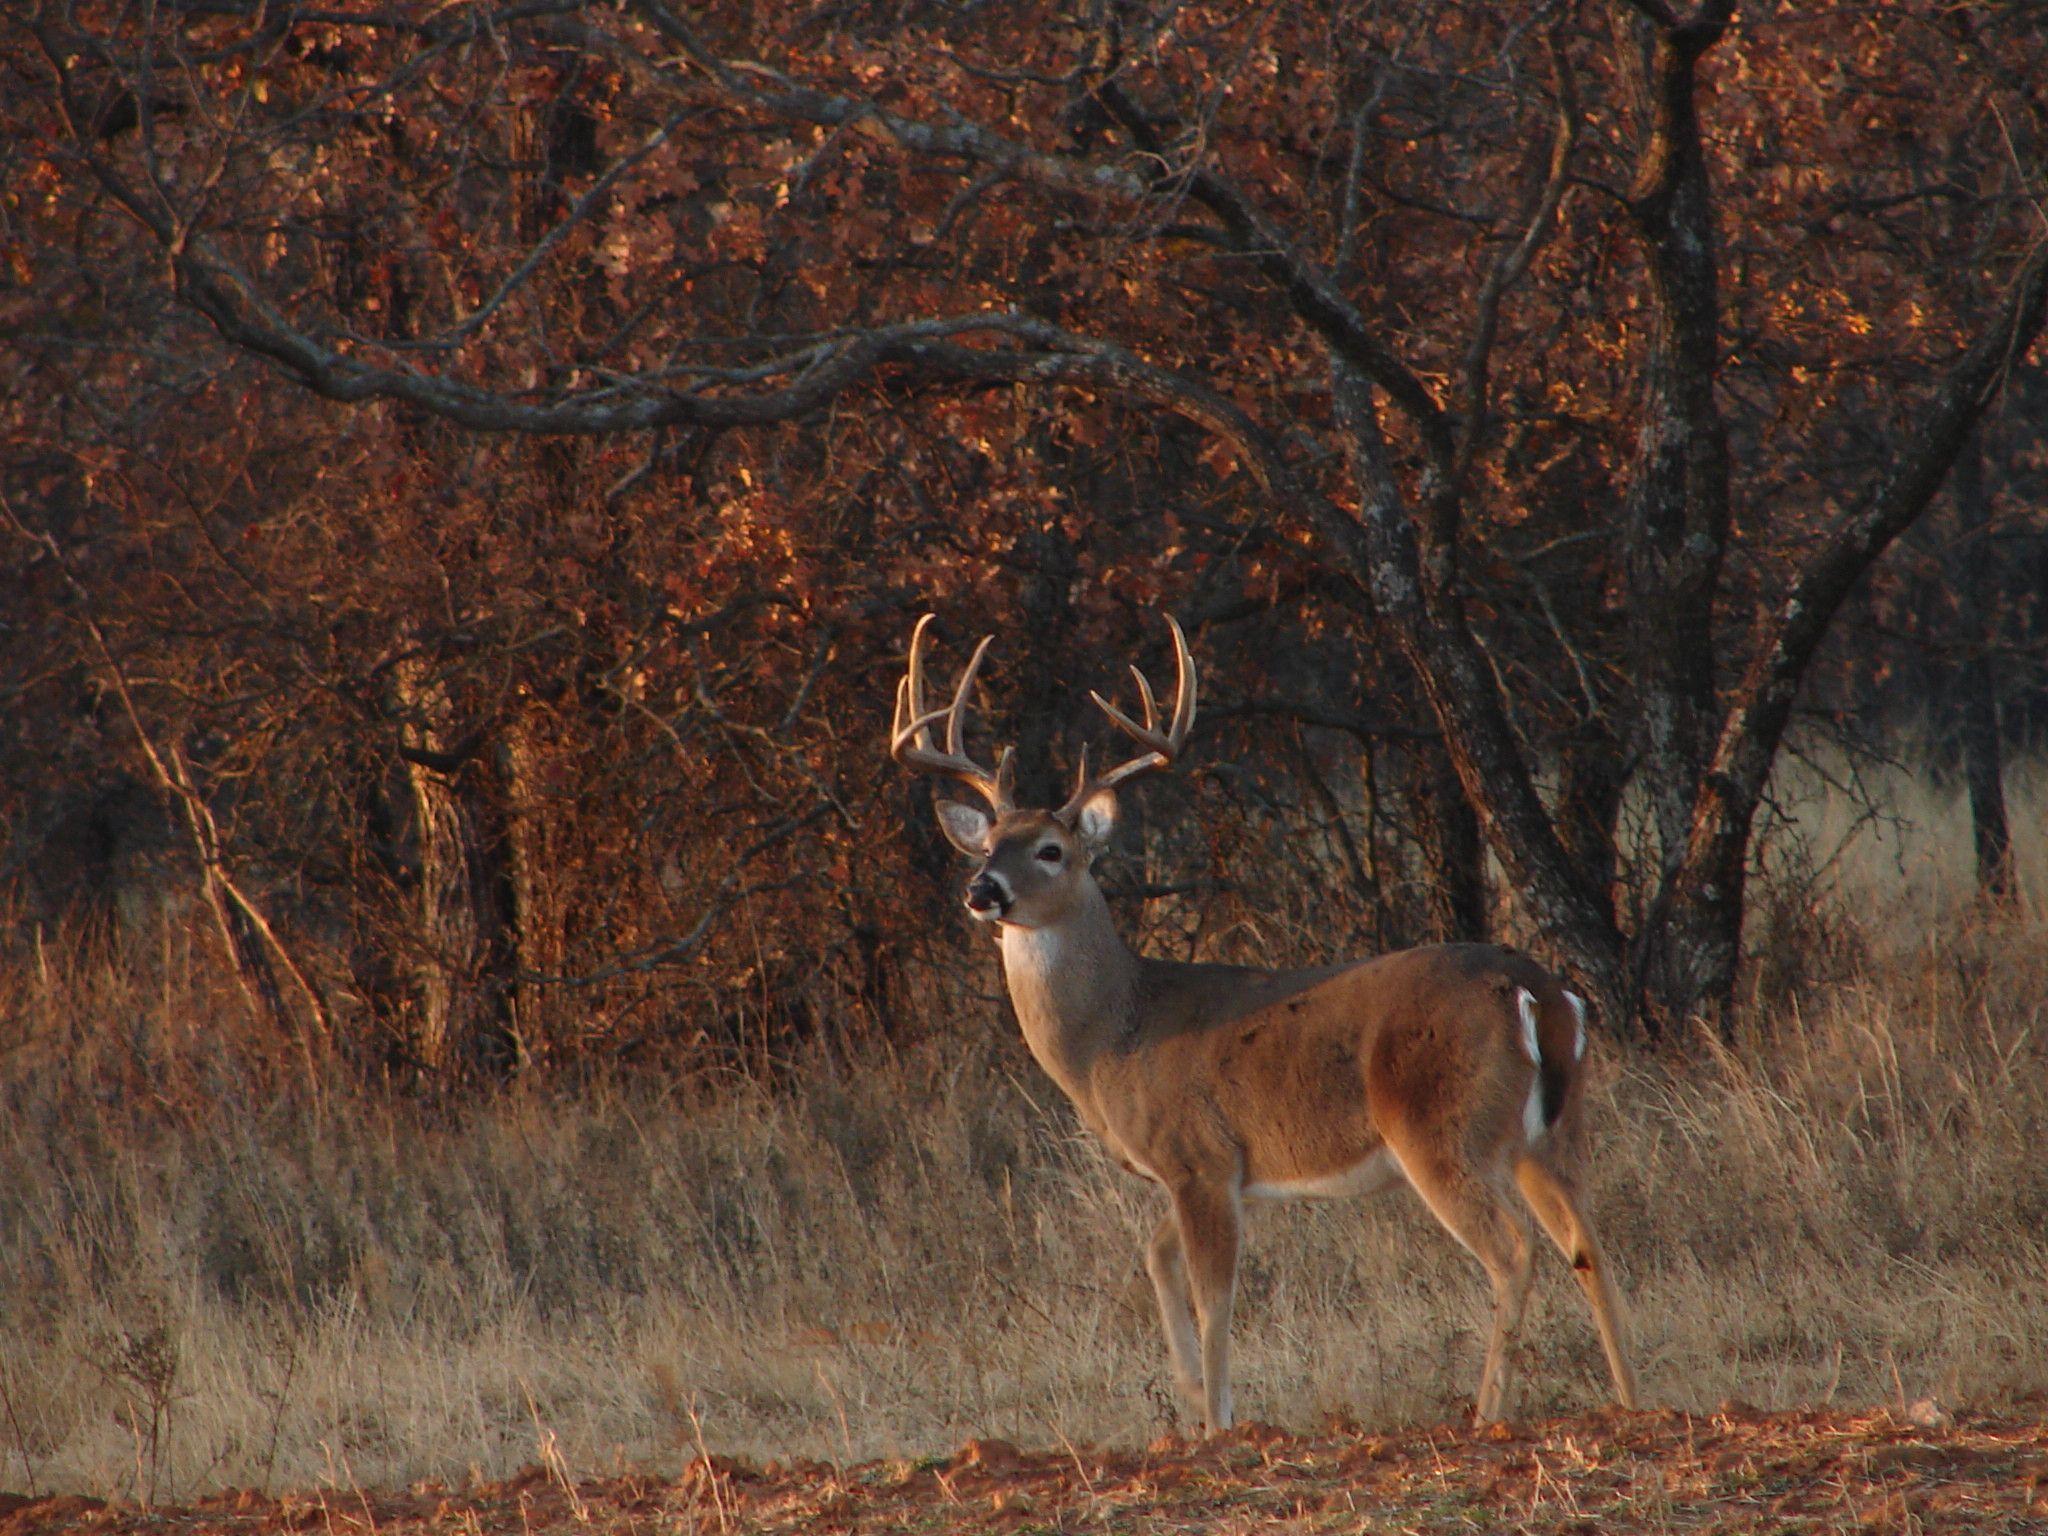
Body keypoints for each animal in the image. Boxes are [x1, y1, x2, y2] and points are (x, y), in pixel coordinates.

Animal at [888, 618, 1638, 1441]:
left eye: (1051, 851)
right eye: (989, 842)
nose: (981, 889)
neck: (1113, 1035)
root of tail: (1540, 992)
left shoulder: (1199, 1156)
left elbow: (1214, 1299)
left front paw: (1219, 1425)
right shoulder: (1214, 1174)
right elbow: (1156, 1259)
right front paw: (1191, 1402)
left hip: (1442, 1129)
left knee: (1513, 1250)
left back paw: (1488, 1414)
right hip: (1551, 1134)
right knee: (1589, 1244)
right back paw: (1635, 1401)